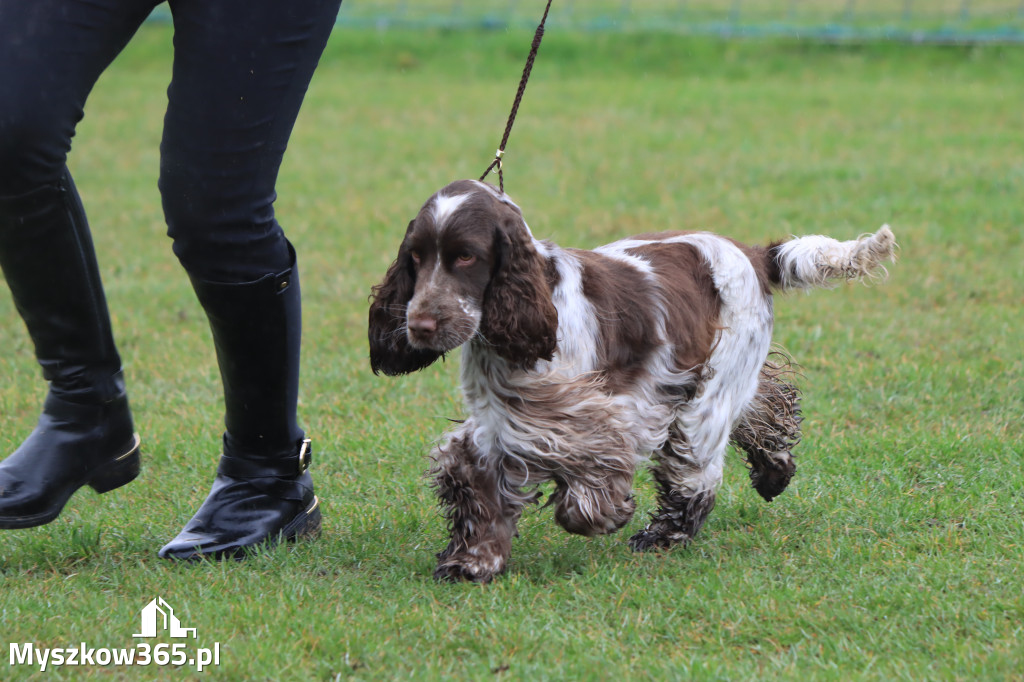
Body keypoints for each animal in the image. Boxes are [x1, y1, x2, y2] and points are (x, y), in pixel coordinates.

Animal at [370, 178, 897, 581]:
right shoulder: (501, 427)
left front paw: (608, 513)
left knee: (697, 473)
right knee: (766, 406)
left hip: (706, 398)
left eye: (465, 257)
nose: (419, 326)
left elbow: (588, 488)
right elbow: (477, 487)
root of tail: (750, 252)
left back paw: (662, 536)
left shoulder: (596, 416)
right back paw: (773, 473)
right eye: (415, 257)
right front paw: (472, 562)